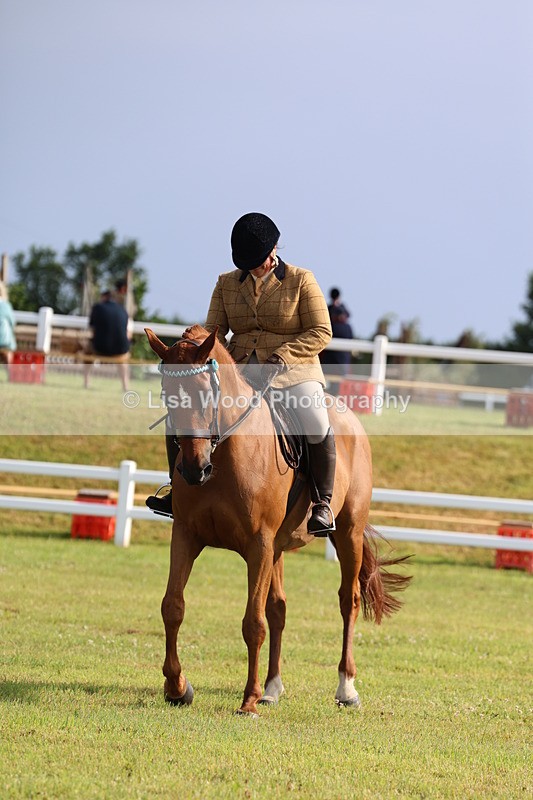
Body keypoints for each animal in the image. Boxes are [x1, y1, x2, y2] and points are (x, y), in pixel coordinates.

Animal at [145, 324, 411, 716]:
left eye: (206, 392)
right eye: (167, 394)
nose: (195, 470)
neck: (223, 456)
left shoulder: (259, 545)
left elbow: (252, 622)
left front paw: (248, 701)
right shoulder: (187, 536)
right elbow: (173, 607)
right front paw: (177, 687)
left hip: (347, 533)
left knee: (348, 601)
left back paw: (345, 688)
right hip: (280, 547)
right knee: (279, 609)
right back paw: (272, 687)